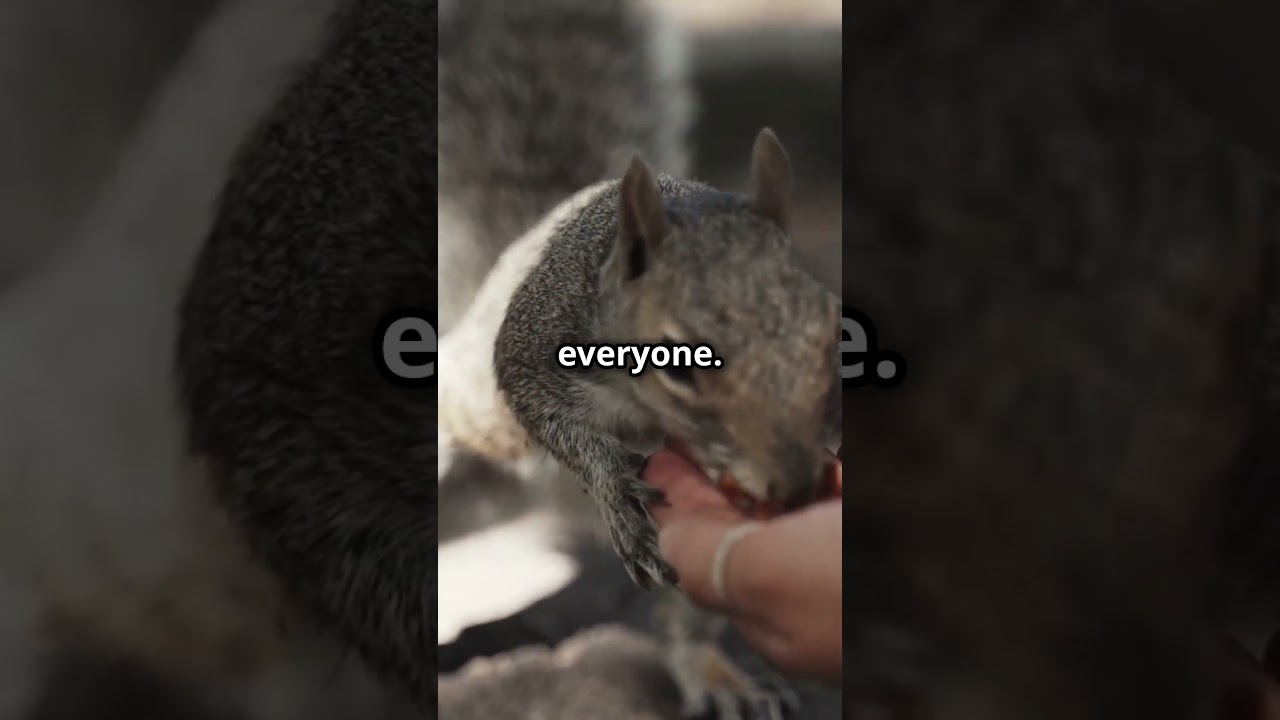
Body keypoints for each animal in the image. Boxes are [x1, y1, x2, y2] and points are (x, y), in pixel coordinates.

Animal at [492, 128, 842, 719]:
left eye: (831, 330)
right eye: (679, 363)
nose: (797, 488)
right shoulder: (535, 355)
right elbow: (557, 424)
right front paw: (618, 497)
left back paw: (713, 672)